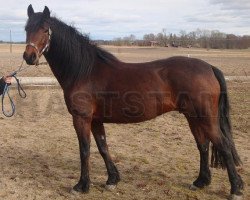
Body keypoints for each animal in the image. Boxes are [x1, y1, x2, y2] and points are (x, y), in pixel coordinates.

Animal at [22, 4, 243, 198]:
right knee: (203, 145)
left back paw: (236, 189)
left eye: (44, 29)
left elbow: (84, 150)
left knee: (223, 145)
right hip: (193, 117)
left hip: (205, 117)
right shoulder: (96, 120)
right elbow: (103, 147)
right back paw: (201, 182)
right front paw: (112, 179)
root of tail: (209, 67)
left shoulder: (81, 118)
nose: (29, 56)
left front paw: (82, 185)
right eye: (26, 28)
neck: (84, 71)